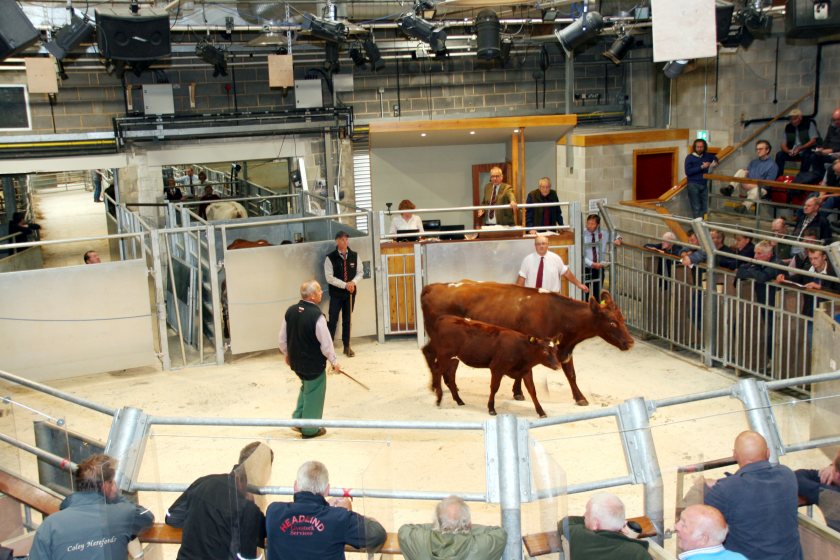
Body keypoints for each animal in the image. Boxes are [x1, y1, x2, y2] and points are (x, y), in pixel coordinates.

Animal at [424, 280, 632, 406]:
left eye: (622, 318)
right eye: (612, 322)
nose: (630, 342)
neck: (559, 314)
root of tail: (432, 286)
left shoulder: (564, 350)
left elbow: (571, 374)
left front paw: (580, 397)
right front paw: (518, 392)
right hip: (439, 342)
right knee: (431, 356)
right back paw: (437, 387)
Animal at [424, 316, 560, 416]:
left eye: (556, 349)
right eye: (545, 350)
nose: (558, 366)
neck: (520, 348)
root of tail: (445, 318)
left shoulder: (526, 370)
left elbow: (532, 390)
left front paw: (541, 411)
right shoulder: (497, 368)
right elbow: (494, 388)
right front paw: (491, 408)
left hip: (454, 360)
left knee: (450, 378)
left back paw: (459, 400)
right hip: (444, 356)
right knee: (437, 371)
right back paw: (438, 398)